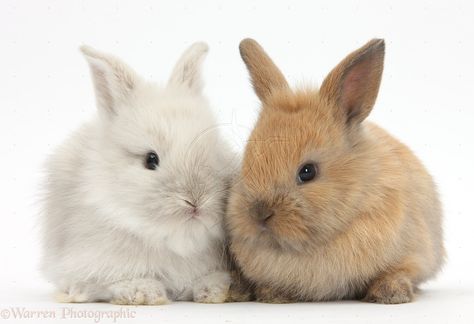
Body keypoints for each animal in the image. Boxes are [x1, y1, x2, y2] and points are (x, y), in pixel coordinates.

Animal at [40, 42, 235, 304]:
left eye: (215, 151)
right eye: (150, 160)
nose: (196, 201)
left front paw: (215, 290)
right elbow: (113, 281)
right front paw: (144, 292)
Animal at [226, 38, 444, 304]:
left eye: (307, 172)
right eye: (246, 162)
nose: (259, 214)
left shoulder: (414, 255)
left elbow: (399, 271)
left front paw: (390, 294)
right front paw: (273, 294)